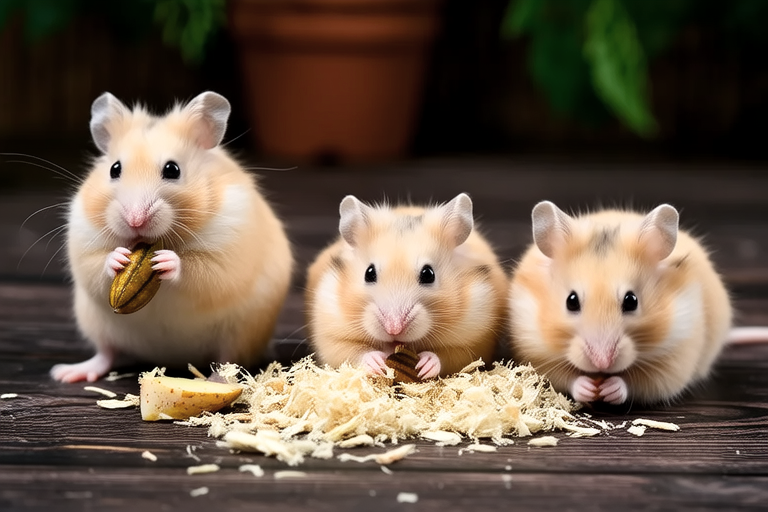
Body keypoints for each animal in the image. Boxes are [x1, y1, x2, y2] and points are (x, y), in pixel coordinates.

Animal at [51, 91, 293, 383]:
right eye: (114, 169)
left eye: (172, 169)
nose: (135, 221)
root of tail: (170, 358)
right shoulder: (83, 239)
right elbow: (95, 264)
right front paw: (119, 258)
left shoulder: (228, 251)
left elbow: (201, 271)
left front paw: (165, 261)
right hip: (95, 323)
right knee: (106, 353)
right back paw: (67, 373)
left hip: (242, 331)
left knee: (228, 360)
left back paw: (216, 380)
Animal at [305, 193, 508, 379]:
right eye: (369, 273)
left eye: (428, 274)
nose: (394, 329)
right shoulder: (331, 335)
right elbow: (350, 352)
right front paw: (377, 363)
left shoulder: (475, 341)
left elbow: (450, 357)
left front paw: (425, 365)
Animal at [508, 201, 733, 406]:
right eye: (571, 301)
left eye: (631, 301)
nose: (602, 362)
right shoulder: (536, 353)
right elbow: (562, 378)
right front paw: (588, 389)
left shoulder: (674, 361)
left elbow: (638, 383)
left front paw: (610, 389)